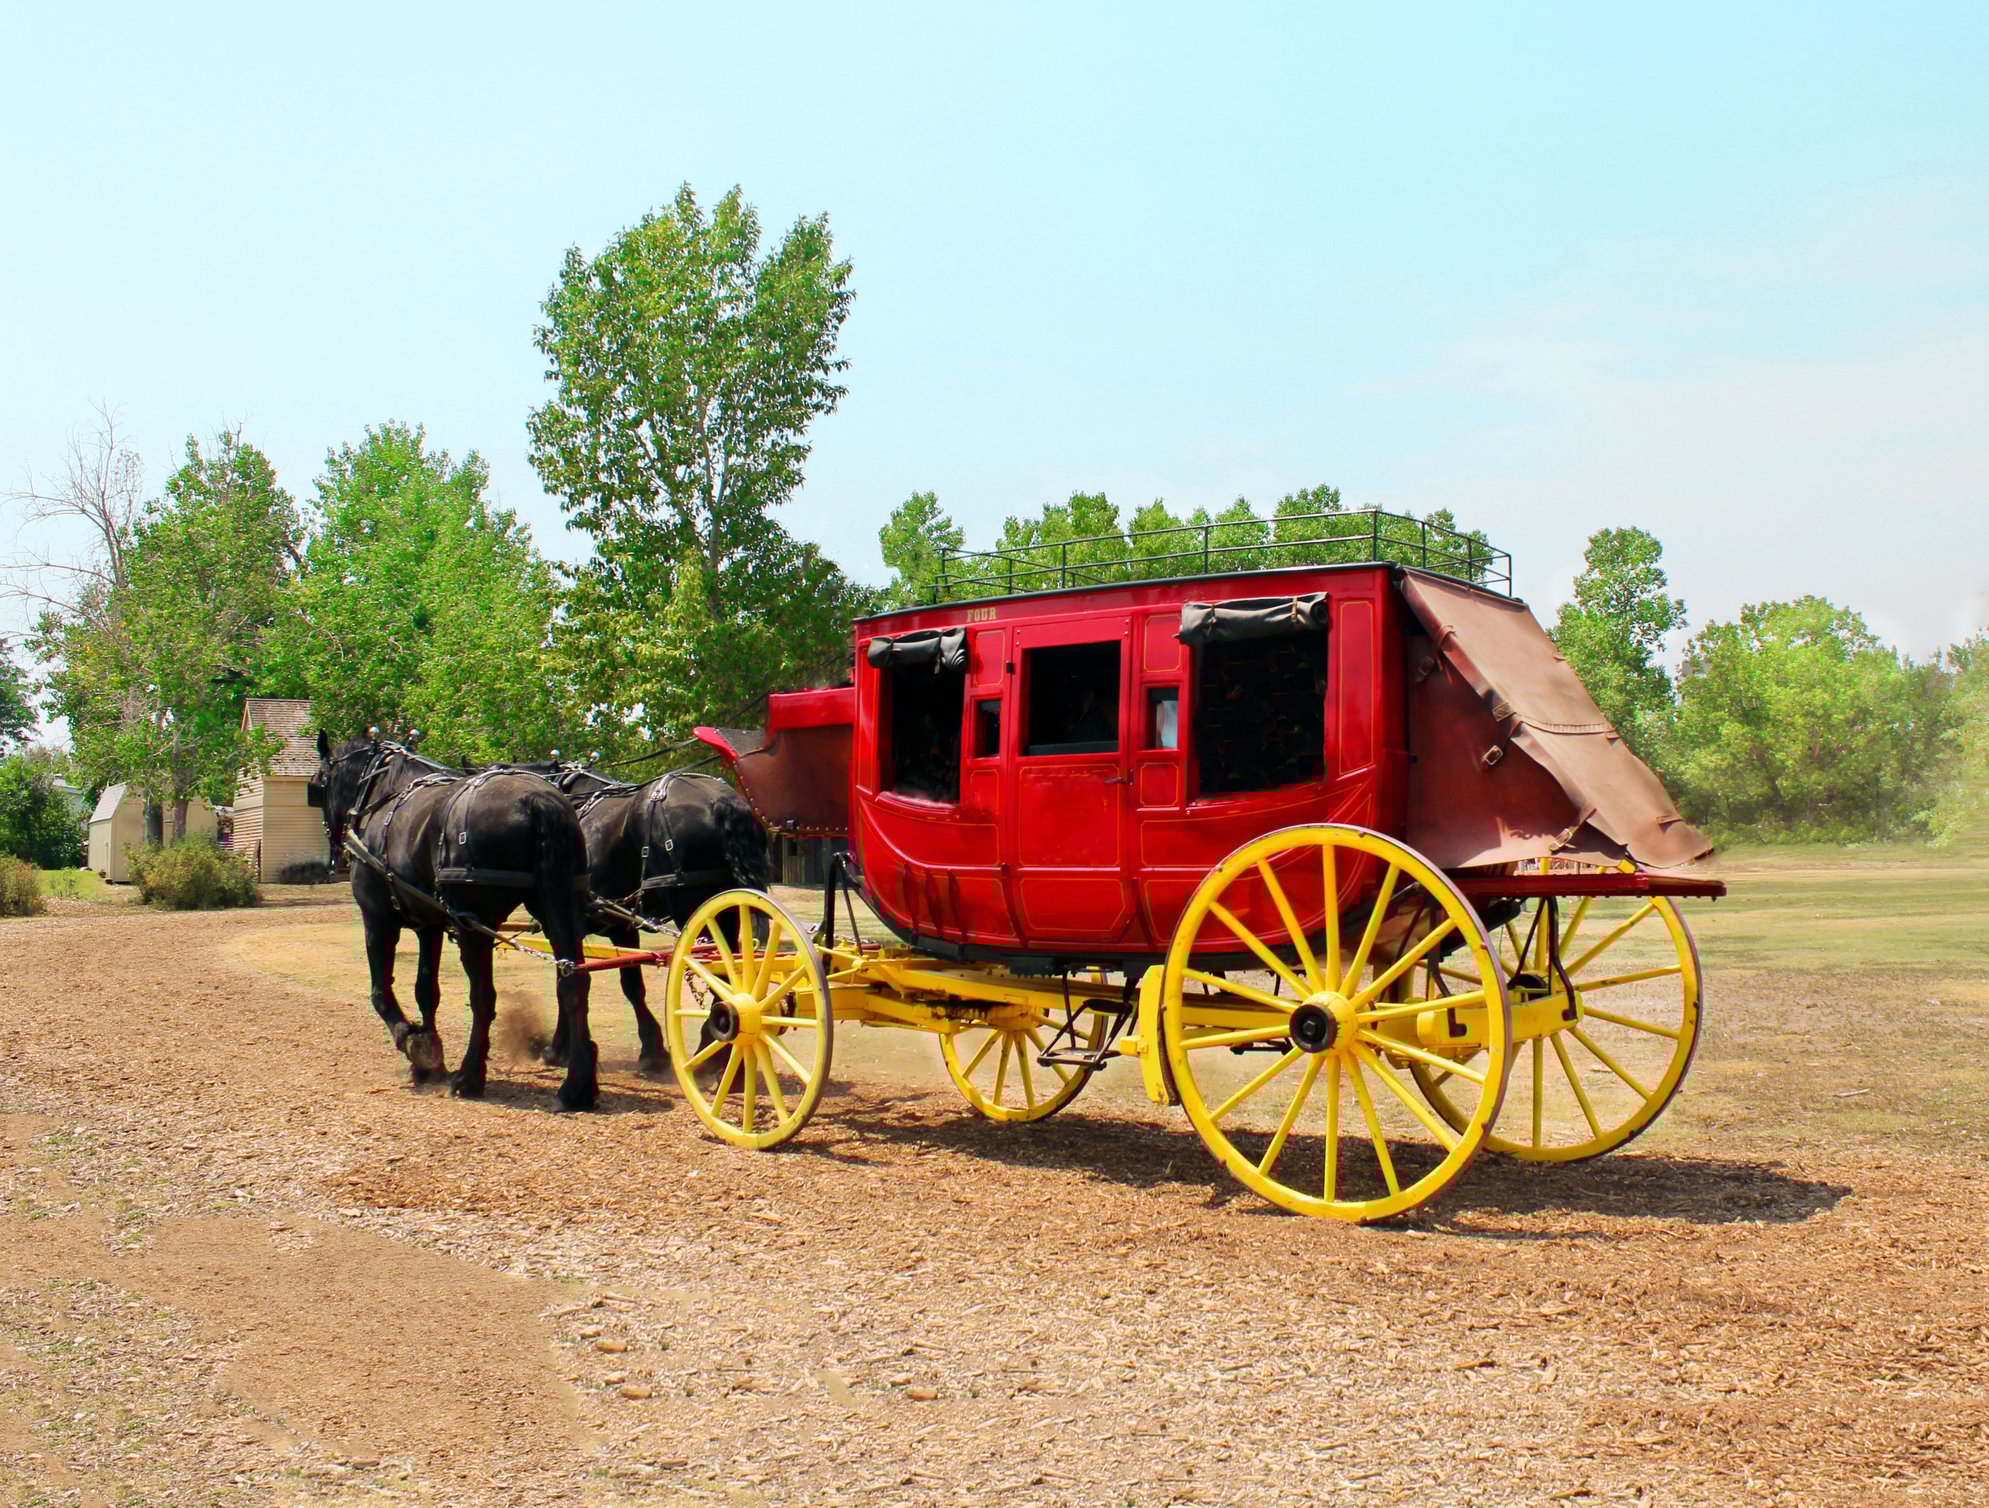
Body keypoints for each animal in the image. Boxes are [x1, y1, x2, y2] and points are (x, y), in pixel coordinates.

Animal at [310, 734, 599, 1110]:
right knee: (573, 980)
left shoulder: (377, 918)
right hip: (557, 909)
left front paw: (413, 1043)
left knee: (483, 997)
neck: (383, 796)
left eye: (318, 785)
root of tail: (537, 800)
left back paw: (470, 1076)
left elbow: (381, 992)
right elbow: (426, 991)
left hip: (473, 927)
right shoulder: (428, 925)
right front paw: (429, 1059)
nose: (334, 856)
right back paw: (577, 1085)